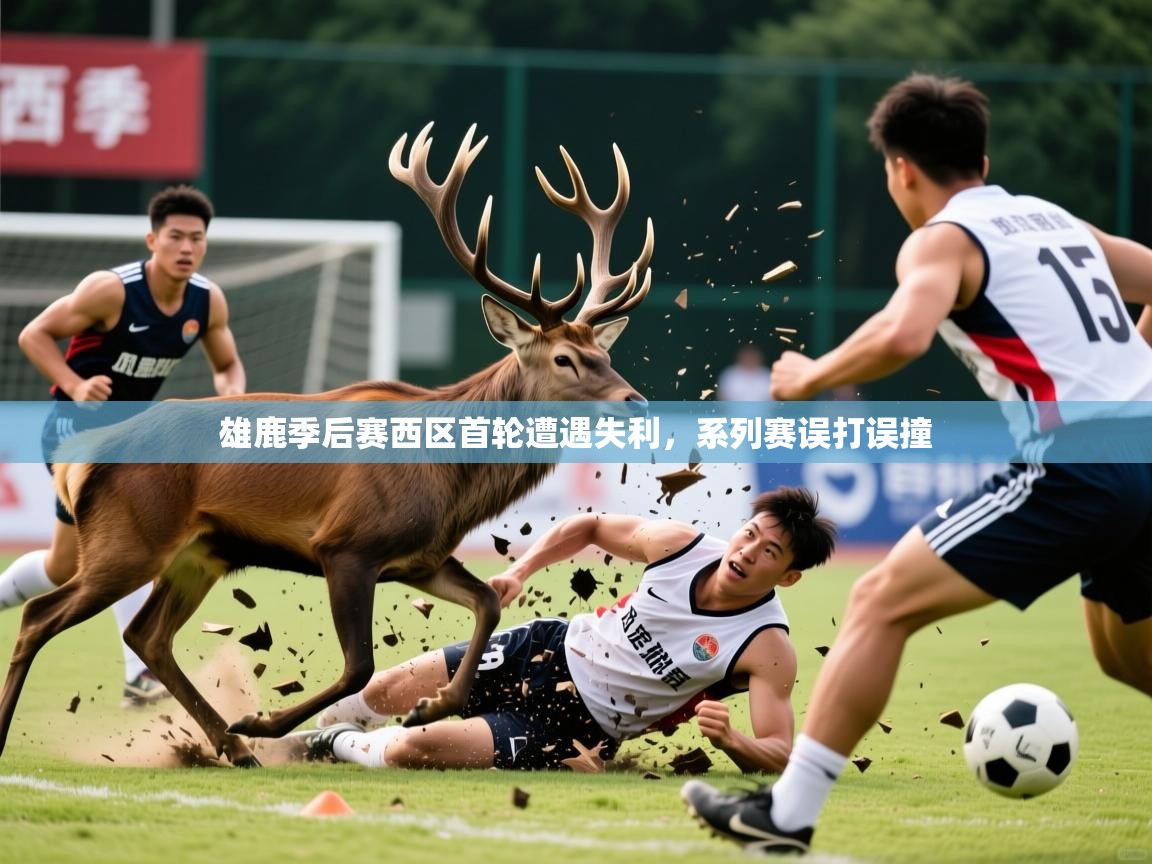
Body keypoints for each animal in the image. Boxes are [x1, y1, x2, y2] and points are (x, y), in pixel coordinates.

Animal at [0, 123, 653, 767]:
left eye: (605, 354)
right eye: (564, 358)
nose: (636, 402)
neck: (451, 479)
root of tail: (84, 459)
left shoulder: (420, 557)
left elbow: (489, 602)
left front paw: (429, 706)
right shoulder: (346, 545)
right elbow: (359, 665)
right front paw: (263, 719)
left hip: (200, 552)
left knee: (147, 635)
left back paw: (231, 747)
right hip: (132, 537)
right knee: (41, 615)